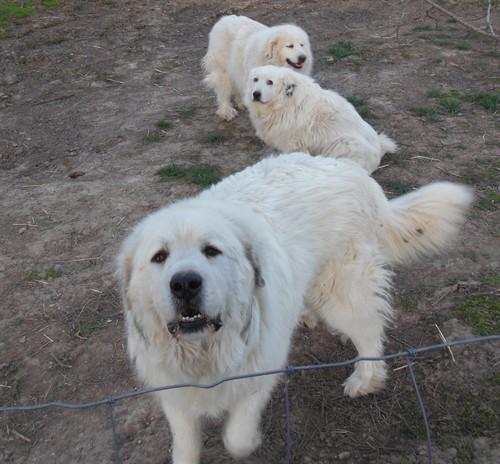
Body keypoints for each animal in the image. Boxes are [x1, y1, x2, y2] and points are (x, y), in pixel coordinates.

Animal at [118, 153, 472, 464]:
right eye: (159, 256)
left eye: (211, 250)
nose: (185, 283)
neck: (205, 351)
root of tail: (353, 171)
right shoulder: (175, 390)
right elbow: (185, 445)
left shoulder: (261, 368)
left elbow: (237, 437)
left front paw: (250, 441)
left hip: (338, 292)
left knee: (369, 332)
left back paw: (365, 378)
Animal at [247, 64, 398, 173]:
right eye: (255, 79)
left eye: (270, 82)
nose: (256, 94)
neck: (284, 101)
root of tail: (380, 150)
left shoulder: (292, 145)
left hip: (343, 144)